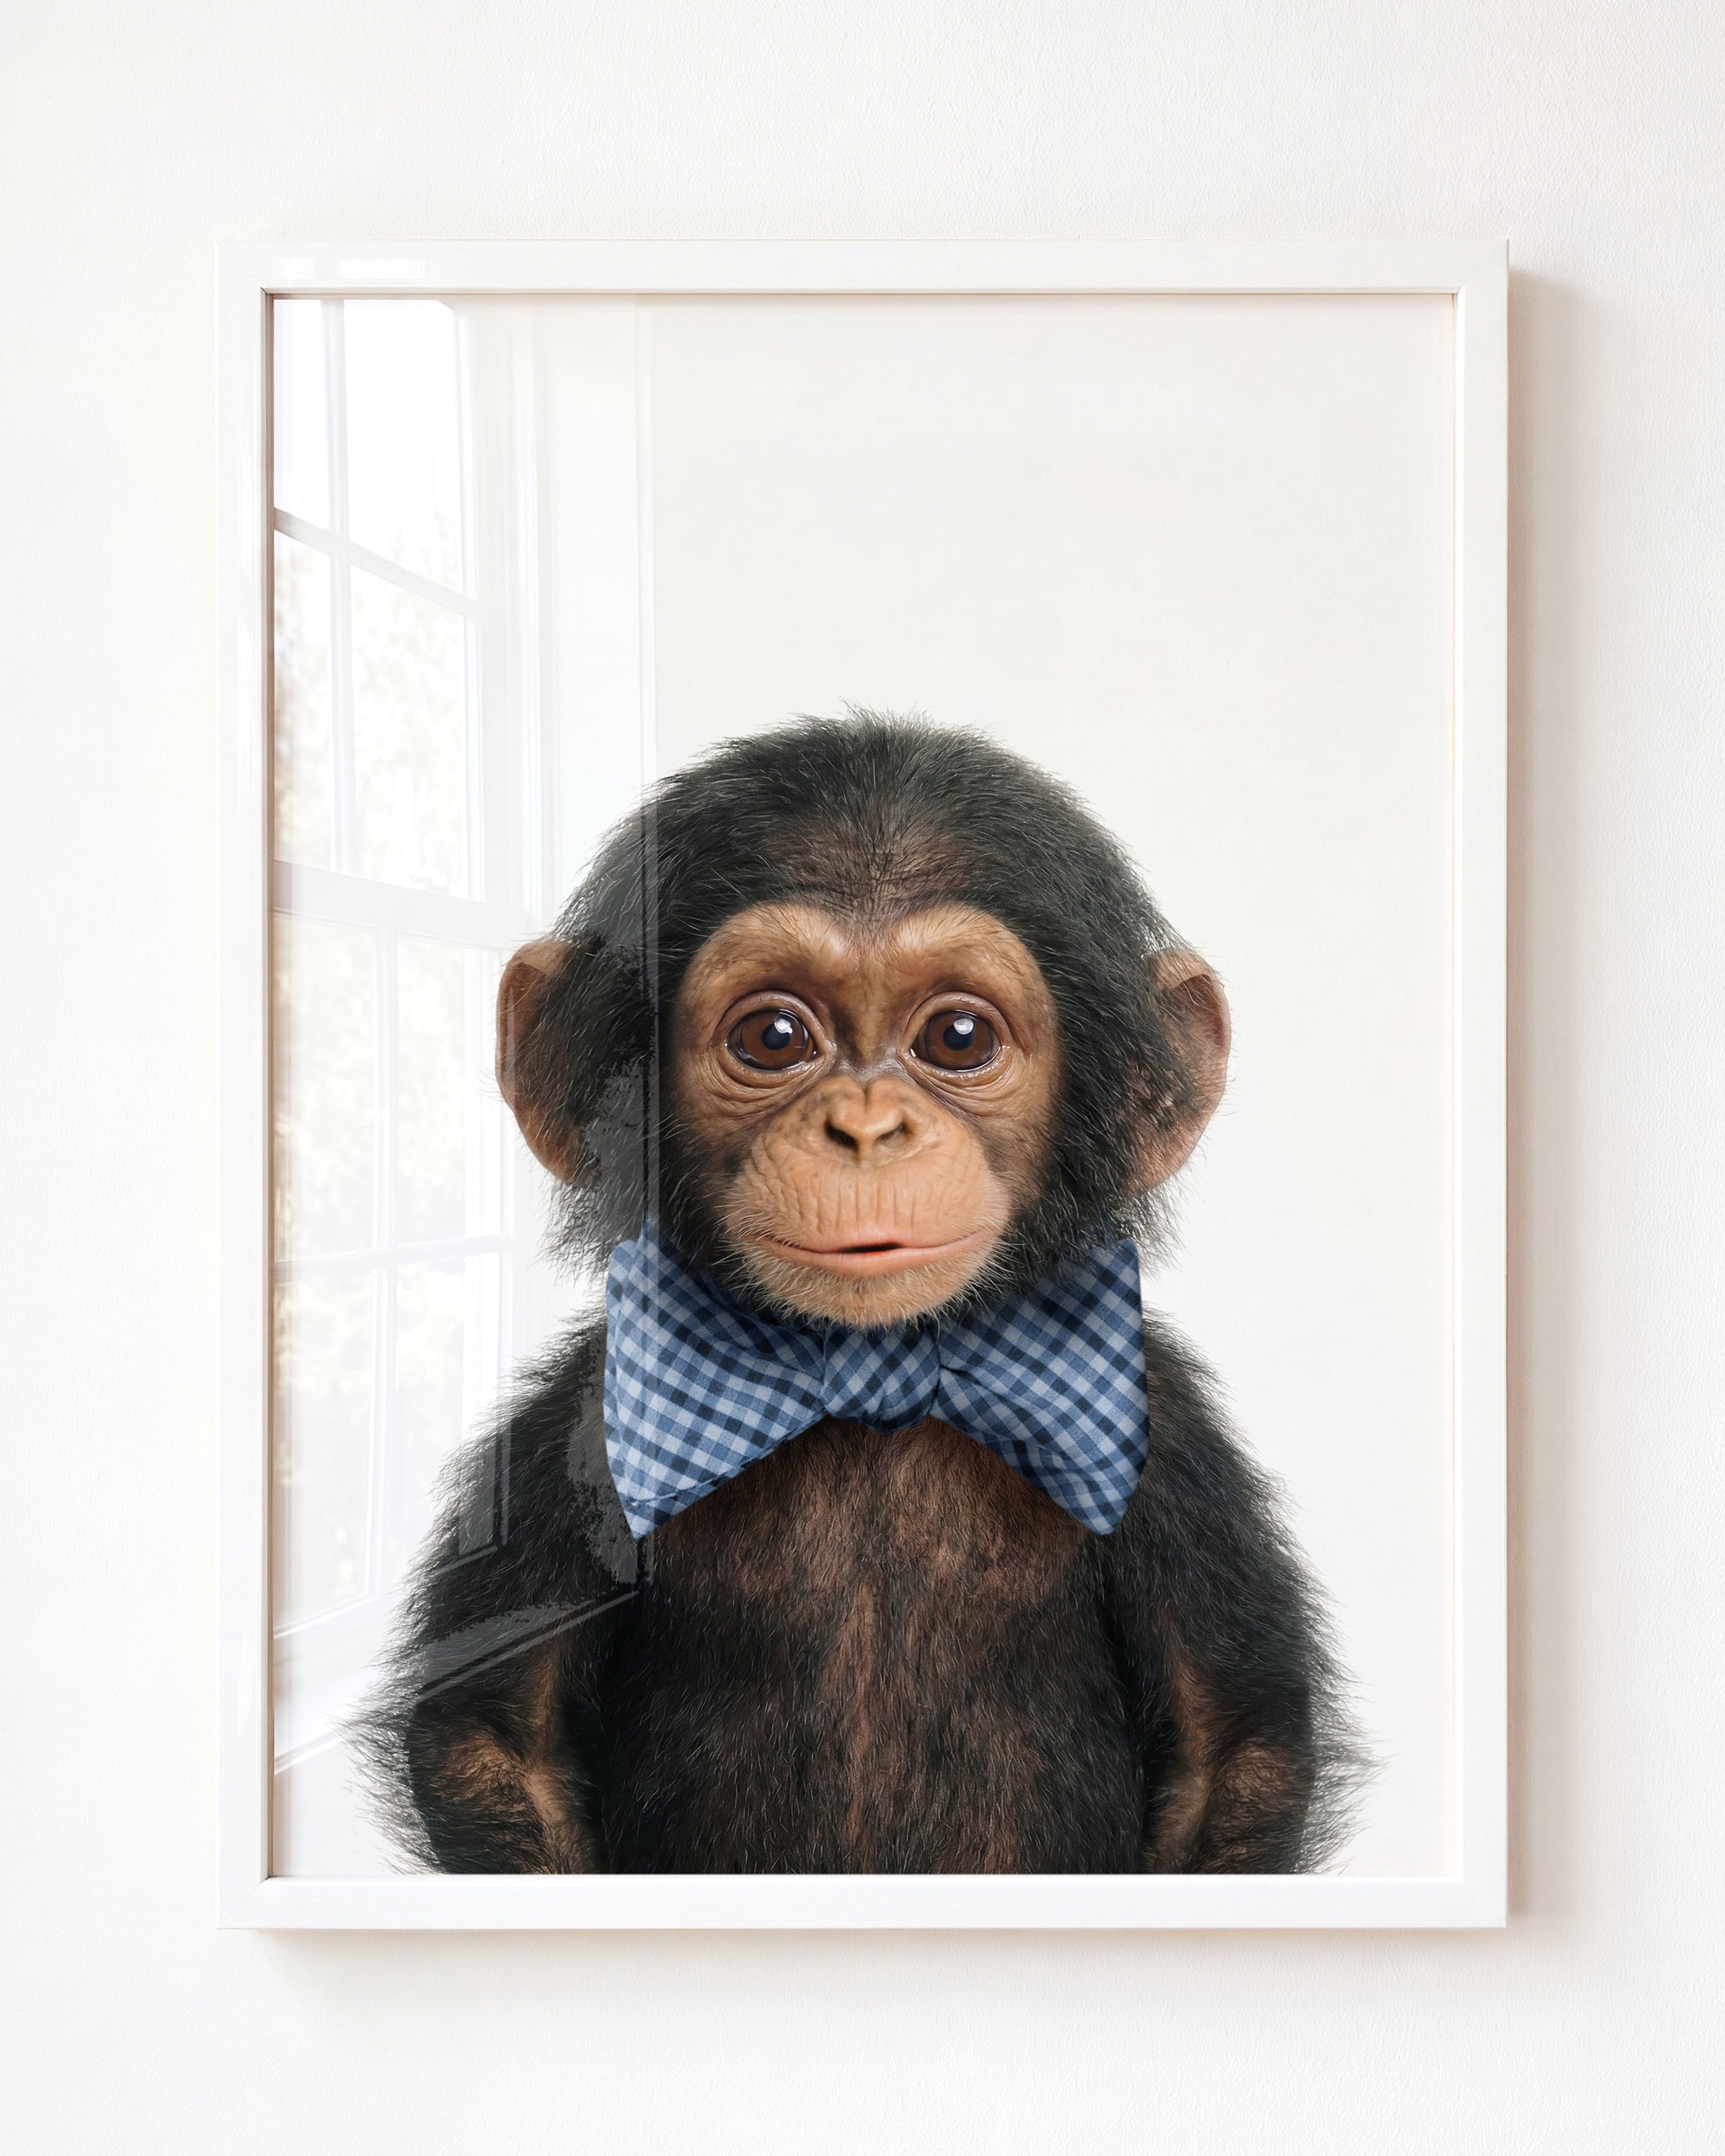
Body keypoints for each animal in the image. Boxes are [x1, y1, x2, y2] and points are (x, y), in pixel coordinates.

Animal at [357, 712, 1366, 1874]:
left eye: (958, 1038)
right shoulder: (577, 1421)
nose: (868, 1127)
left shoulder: (1171, 1442)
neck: (870, 1374)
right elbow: (496, 1736)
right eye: (773, 1037)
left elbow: (1229, 1747)